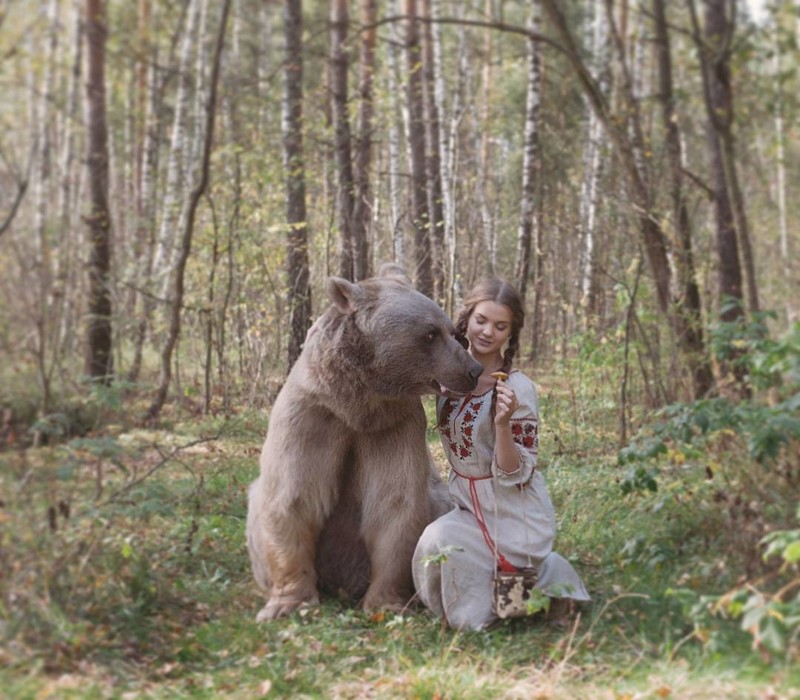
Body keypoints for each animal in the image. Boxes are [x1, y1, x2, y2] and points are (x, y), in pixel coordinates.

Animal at [246, 264, 482, 621]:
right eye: (430, 334)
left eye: (453, 331)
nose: (473, 369)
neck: (358, 403)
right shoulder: (313, 417)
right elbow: (293, 497)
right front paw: (288, 603)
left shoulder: (392, 427)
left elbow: (394, 502)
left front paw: (385, 601)